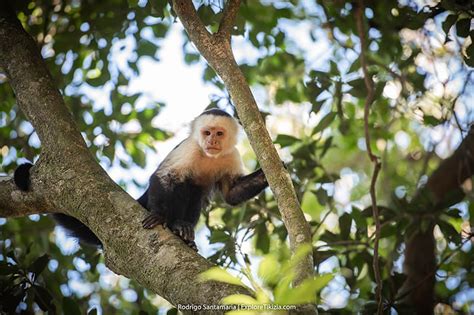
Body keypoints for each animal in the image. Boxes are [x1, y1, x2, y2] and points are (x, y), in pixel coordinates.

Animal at [13, 109, 266, 252]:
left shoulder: (231, 155)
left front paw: (271, 170)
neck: (208, 155)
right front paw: (160, 216)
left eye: (219, 133)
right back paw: (175, 225)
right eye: (207, 132)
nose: (212, 141)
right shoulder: (190, 148)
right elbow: (164, 177)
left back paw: (184, 231)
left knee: (197, 193)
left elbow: (231, 193)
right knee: (183, 185)